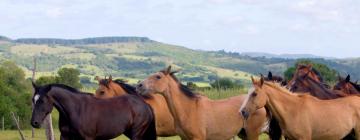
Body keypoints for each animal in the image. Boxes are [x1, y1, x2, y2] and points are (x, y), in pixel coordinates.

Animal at [136, 66, 270, 140]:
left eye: (158, 77)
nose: (139, 85)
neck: (189, 109)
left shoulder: (198, 138)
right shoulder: (184, 138)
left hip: (252, 134)